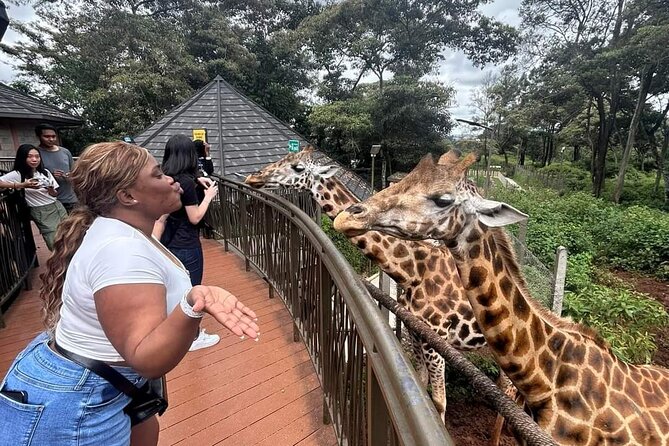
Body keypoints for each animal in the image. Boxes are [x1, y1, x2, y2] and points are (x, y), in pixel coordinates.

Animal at [245, 147, 495, 422]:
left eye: (298, 167)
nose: (253, 177)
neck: (413, 272)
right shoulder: (415, 331)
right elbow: (422, 382)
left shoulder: (437, 335)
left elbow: (439, 402)